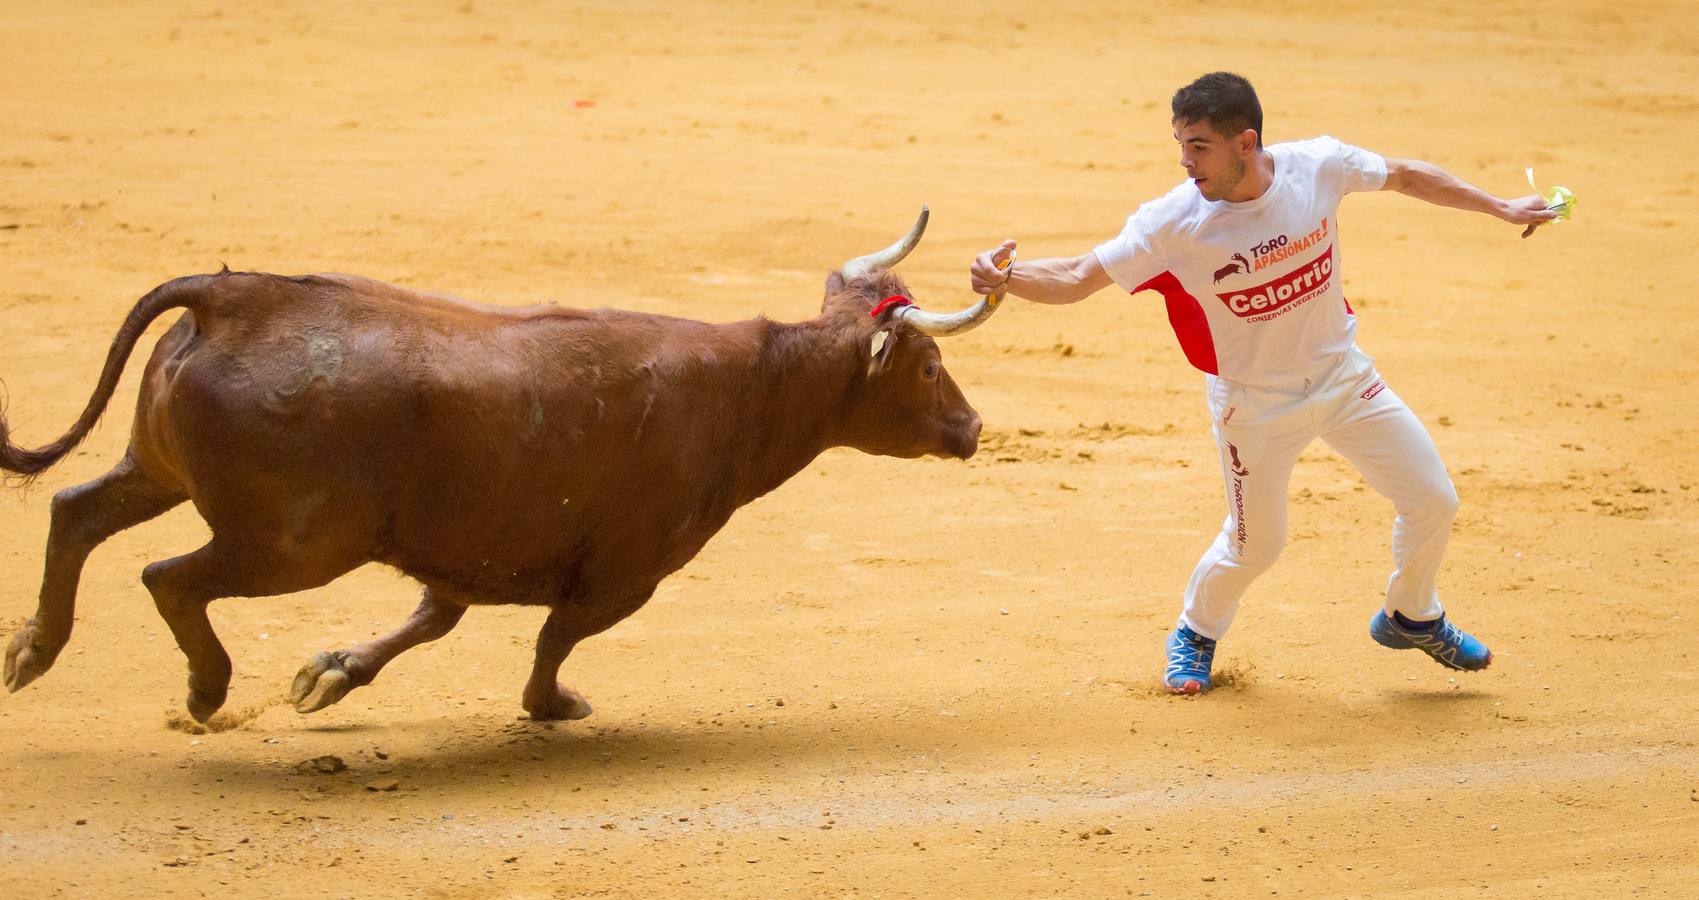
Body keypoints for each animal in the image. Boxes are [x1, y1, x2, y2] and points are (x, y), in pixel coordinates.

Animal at [0, 206, 999, 716]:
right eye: (928, 365)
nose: (972, 426)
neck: (755, 387)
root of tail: (232, 298)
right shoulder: (626, 572)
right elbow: (555, 638)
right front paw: (551, 707)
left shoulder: (470, 549)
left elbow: (433, 617)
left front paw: (332, 672)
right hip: (293, 546)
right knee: (168, 576)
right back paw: (205, 690)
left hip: (163, 475)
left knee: (75, 511)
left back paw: (32, 651)